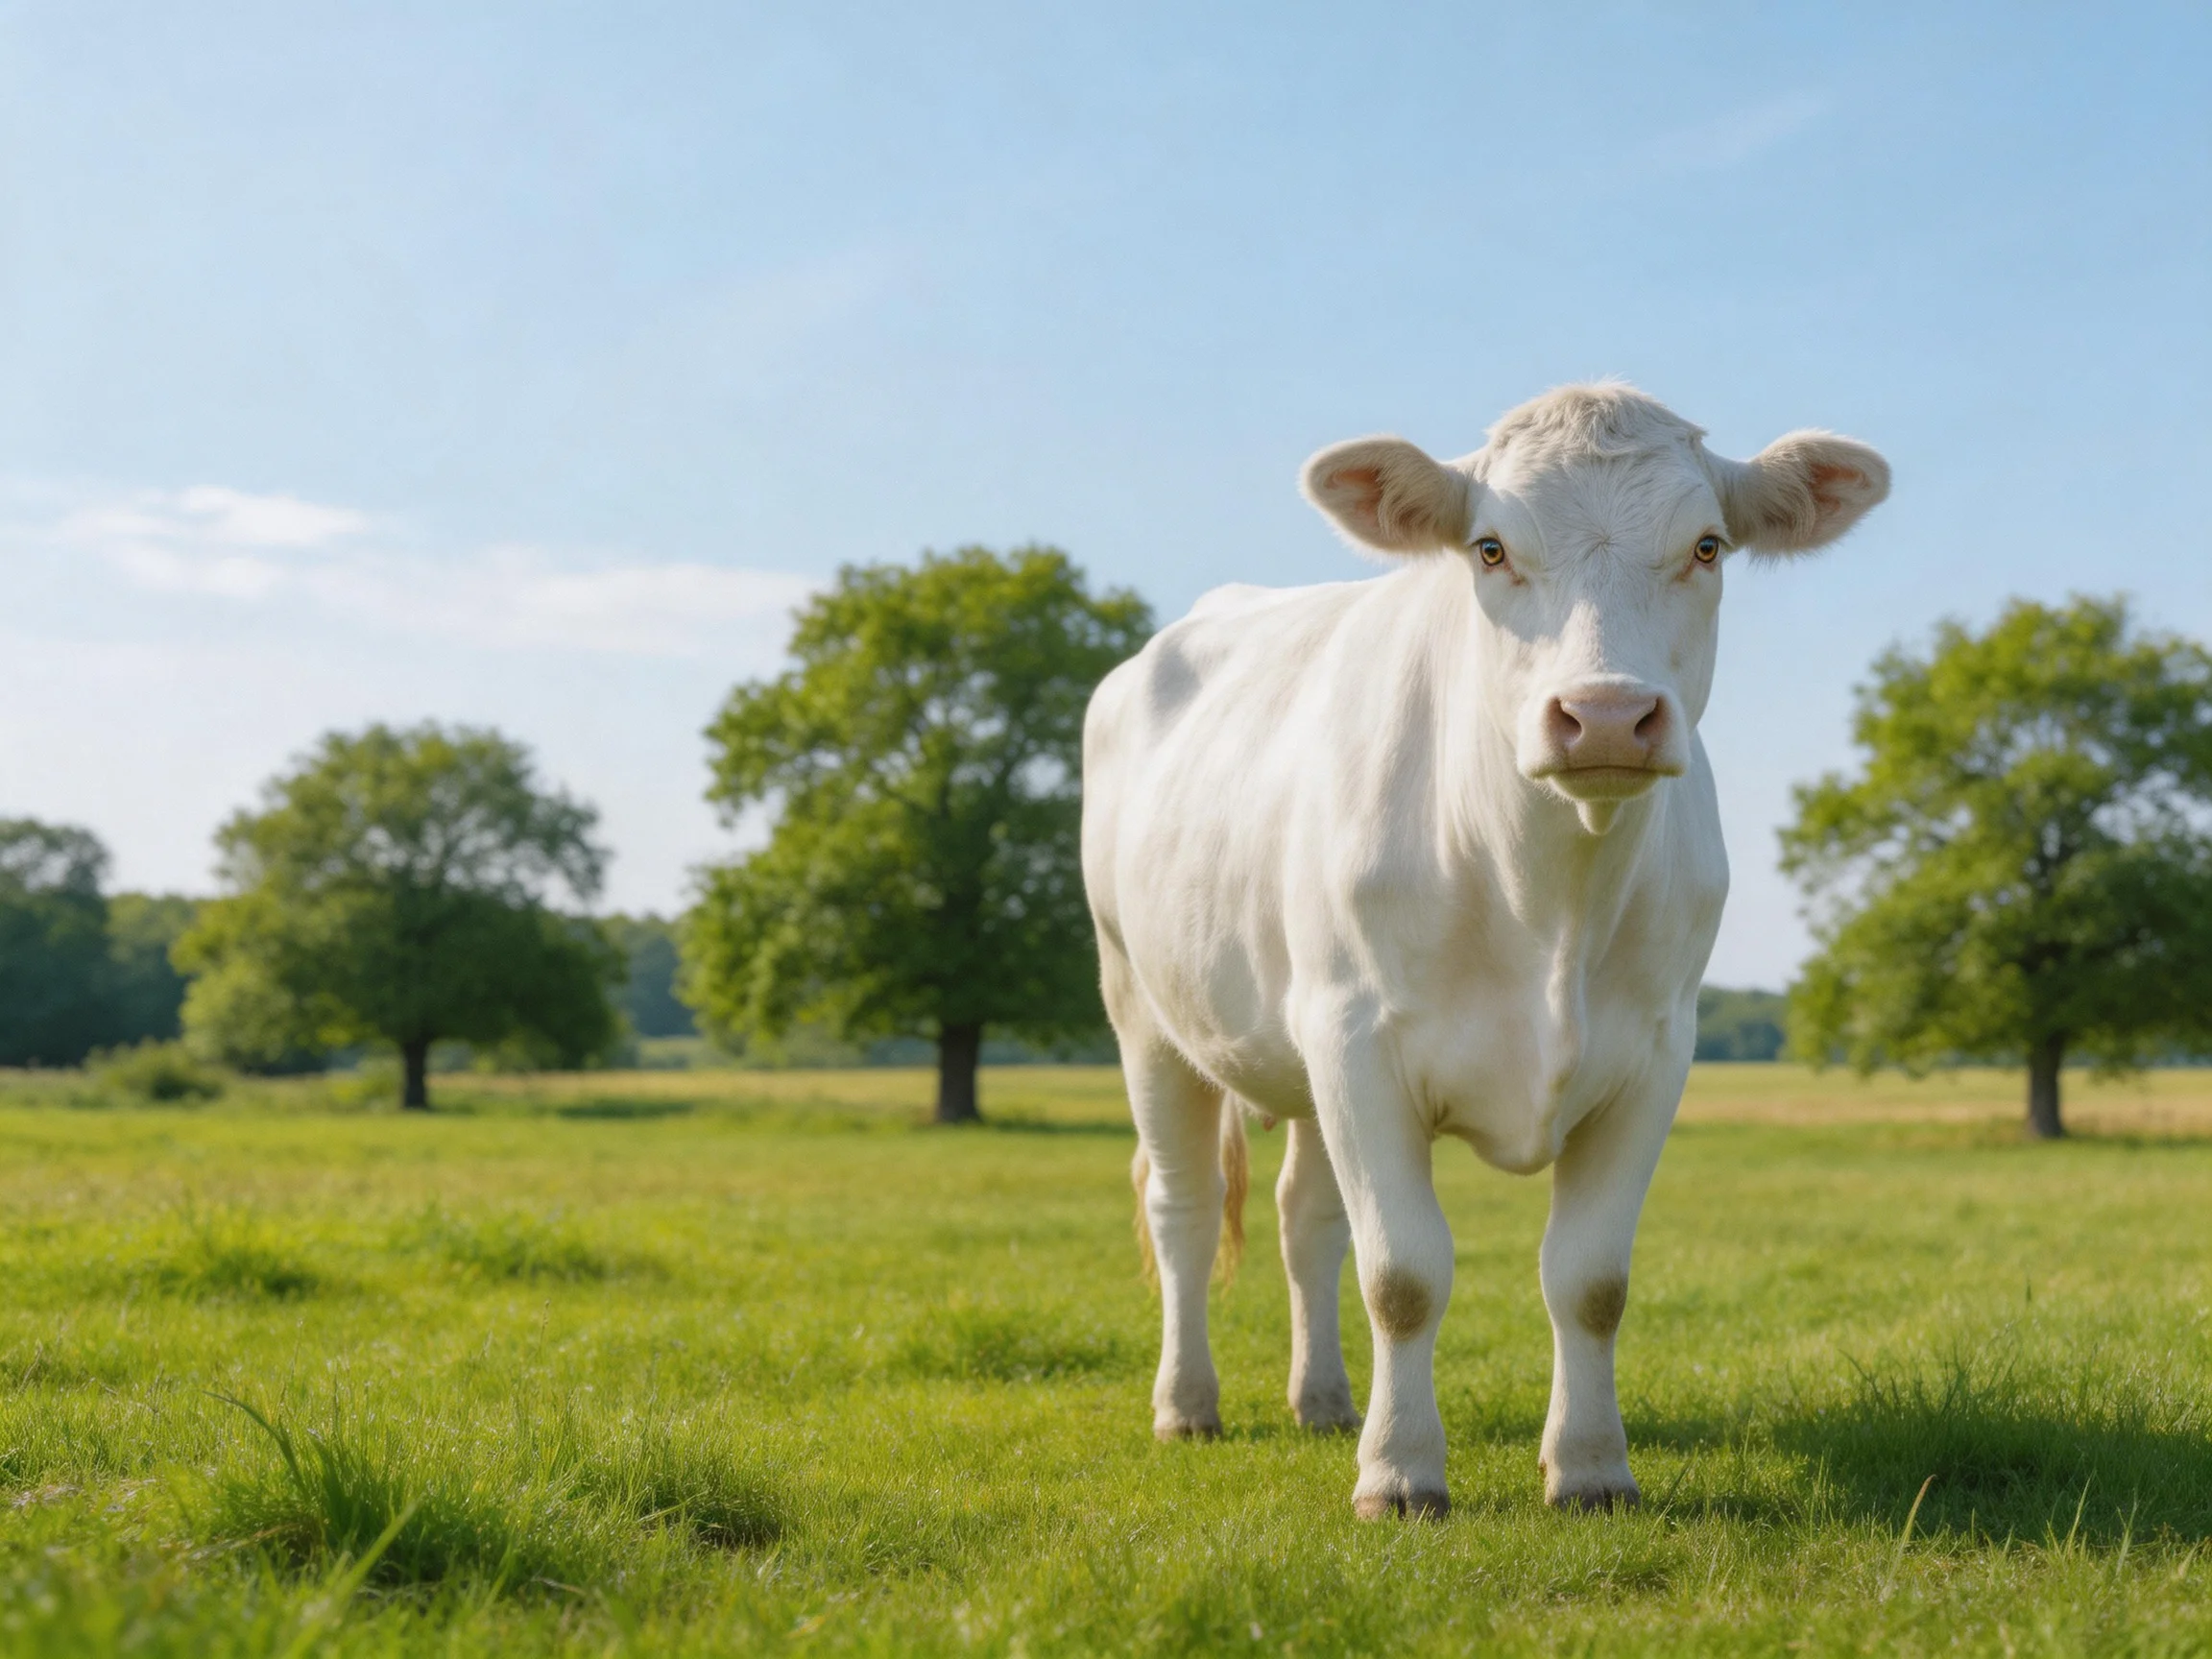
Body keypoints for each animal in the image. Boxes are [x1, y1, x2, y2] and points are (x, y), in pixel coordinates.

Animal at [1081, 383, 1888, 1517]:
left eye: (1709, 545)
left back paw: (1323, 1401)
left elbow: (1589, 1280)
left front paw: (1590, 1467)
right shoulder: (1358, 1042)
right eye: (1491, 548)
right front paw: (1400, 1474)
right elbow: (1404, 1275)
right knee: (1185, 1209)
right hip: (1144, 1014)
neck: (1547, 899)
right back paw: (1187, 1405)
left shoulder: (1655, 1055)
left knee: (1304, 1219)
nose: (1606, 714)